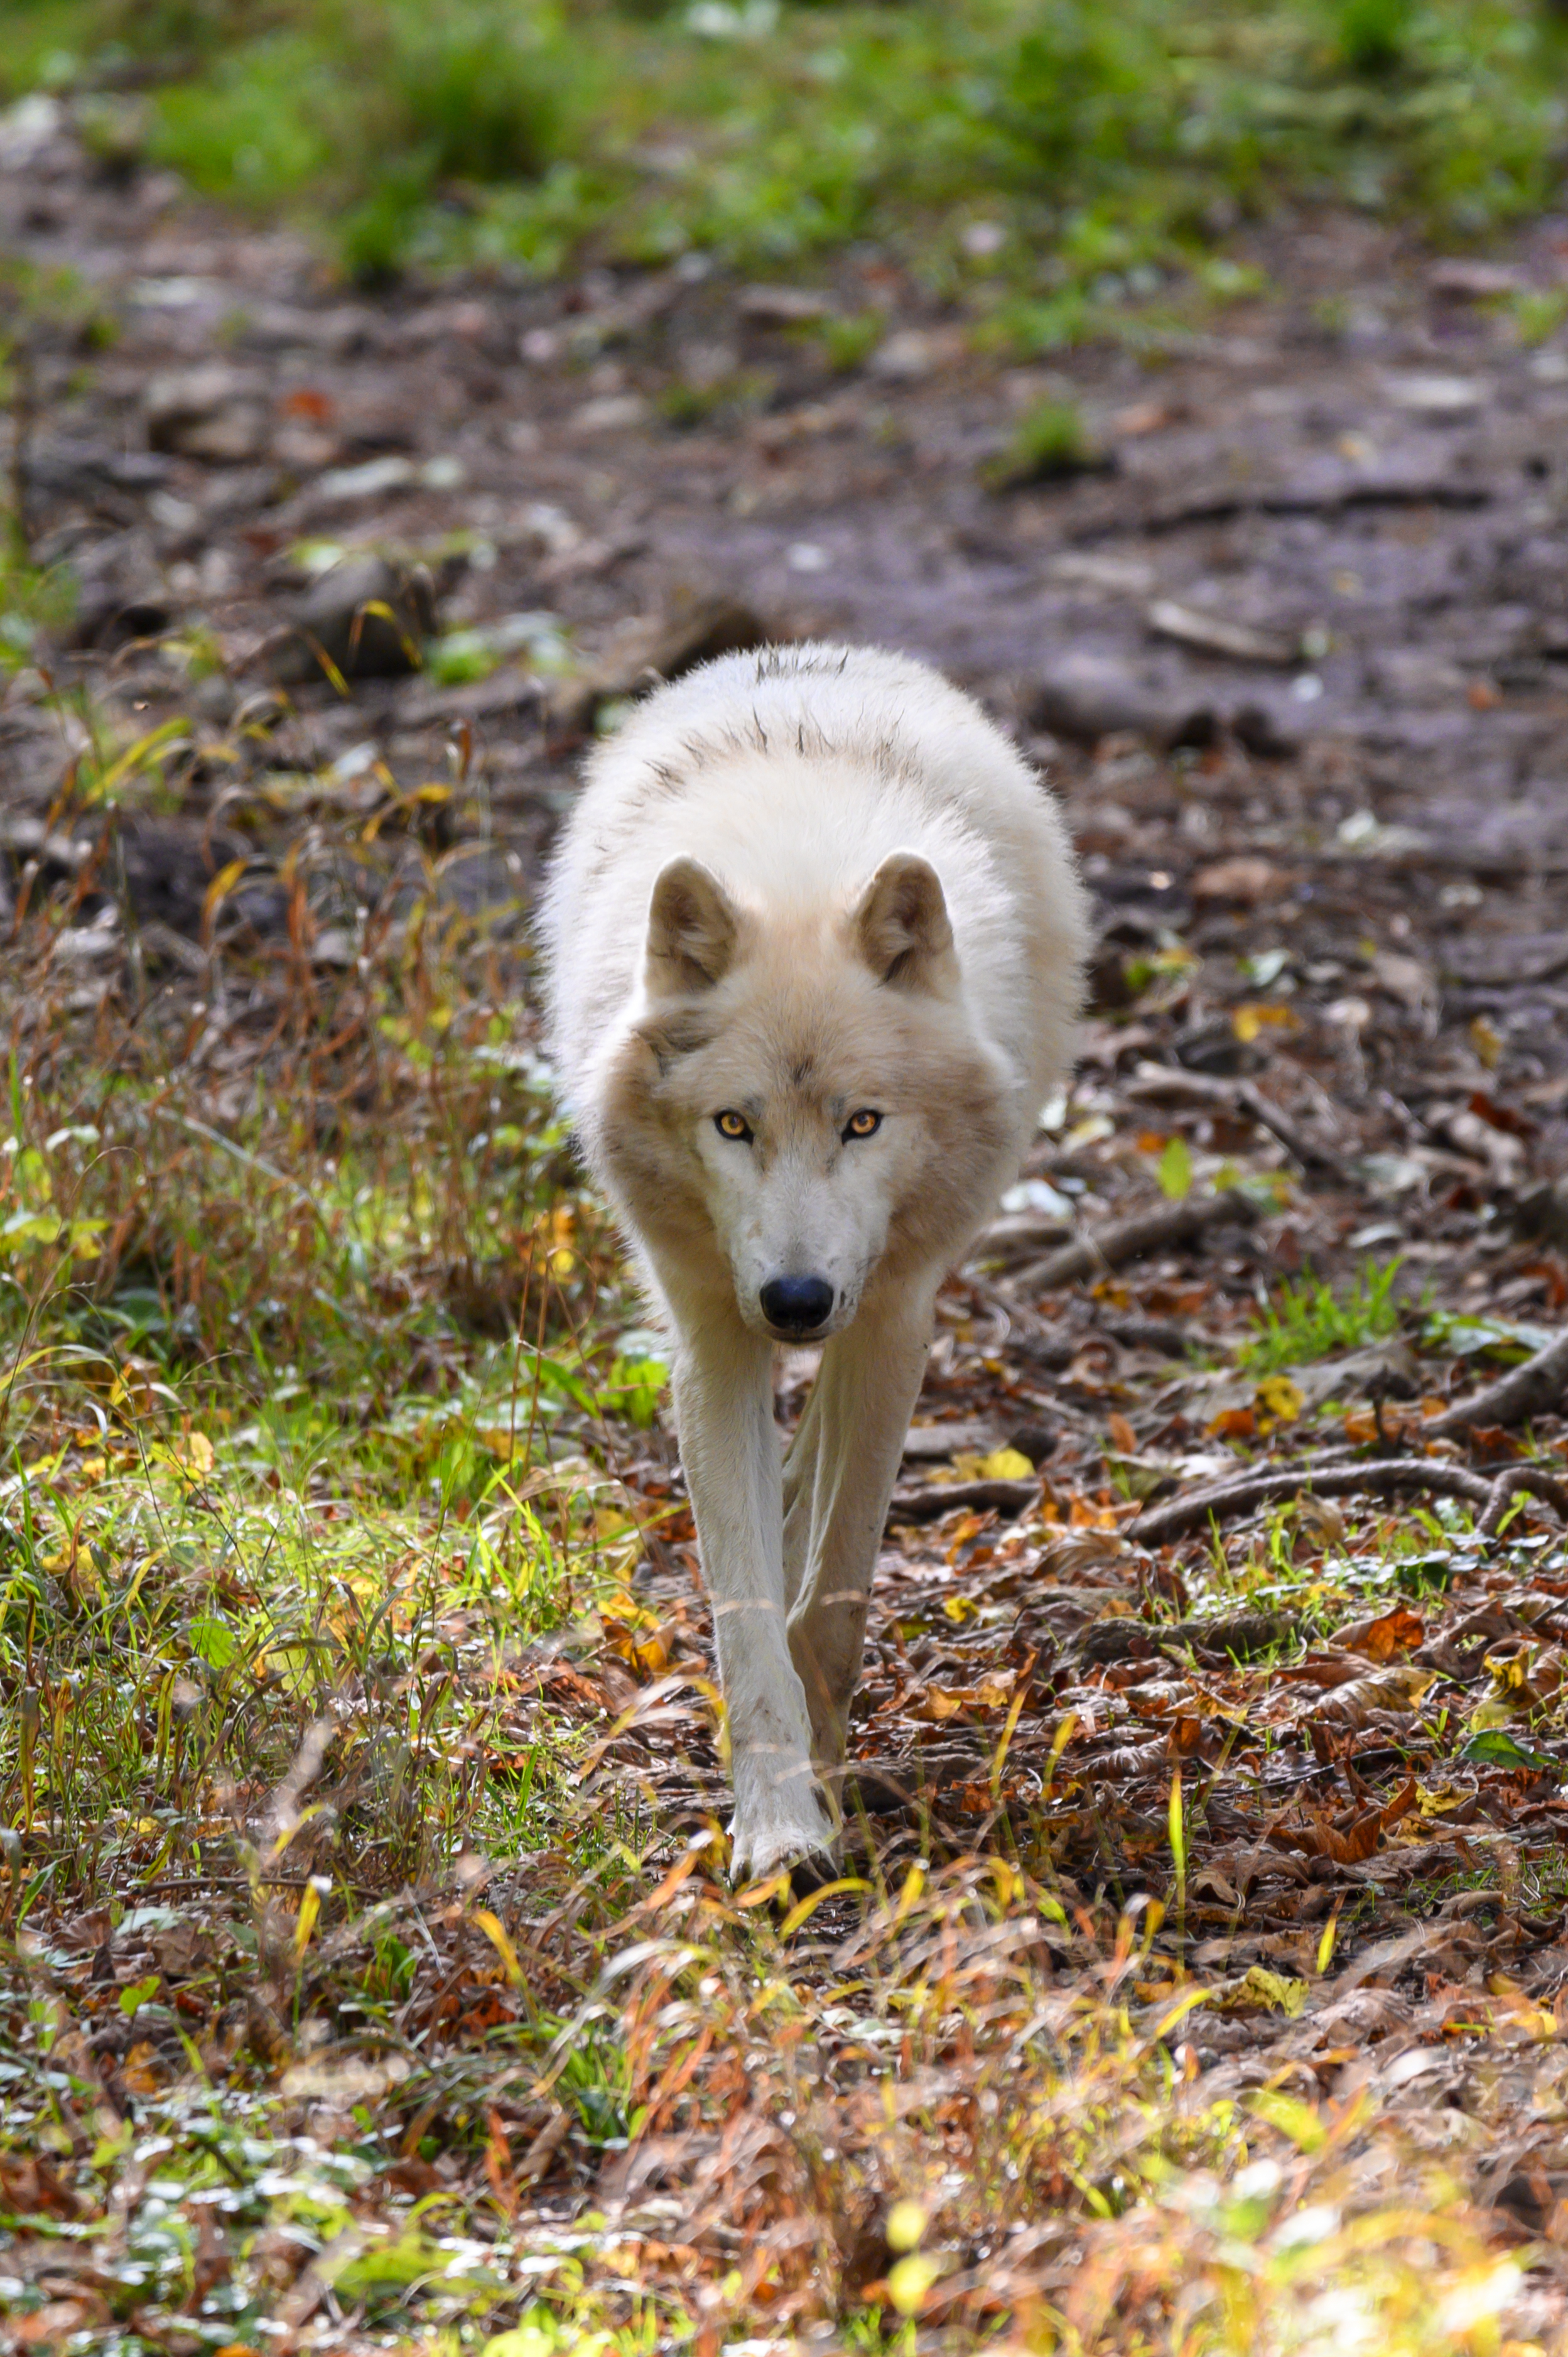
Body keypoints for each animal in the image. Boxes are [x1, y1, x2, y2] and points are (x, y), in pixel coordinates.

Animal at [543, 643, 1087, 1881]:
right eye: (733, 1125)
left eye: (863, 1123)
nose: (793, 1298)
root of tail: (805, 659)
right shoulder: (711, 1333)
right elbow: (744, 1615)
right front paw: (779, 1821)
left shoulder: (890, 1316)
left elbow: (833, 1602)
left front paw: (828, 1771)